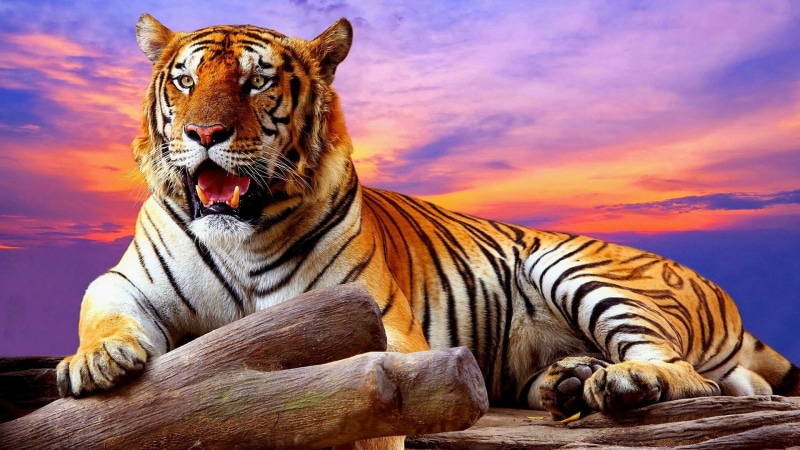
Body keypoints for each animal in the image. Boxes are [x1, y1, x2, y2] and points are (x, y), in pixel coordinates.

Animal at [57, 13, 799, 448]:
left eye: (256, 83)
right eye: (184, 82)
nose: (203, 134)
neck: (236, 231)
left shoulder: (379, 327)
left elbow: (364, 403)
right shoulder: (129, 279)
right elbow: (103, 308)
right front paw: (96, 362)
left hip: (579, 269)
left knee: (690, 375)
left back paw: (621, 384)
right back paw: (569, 382)